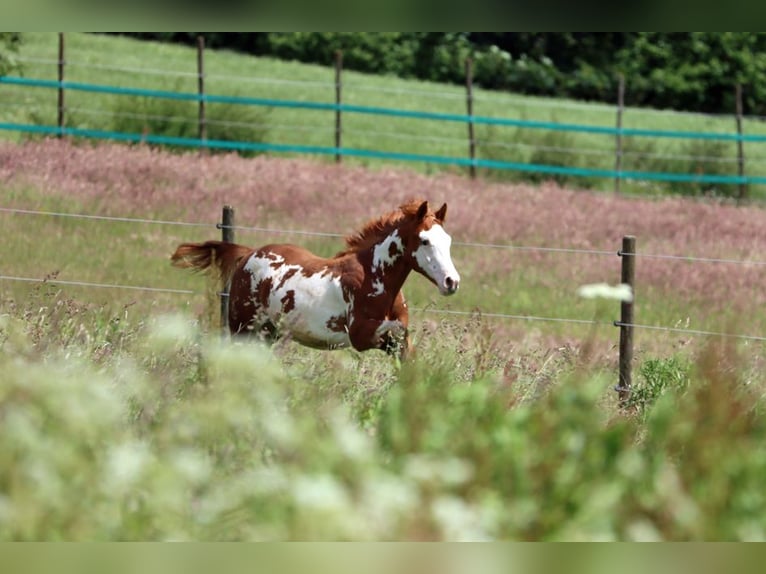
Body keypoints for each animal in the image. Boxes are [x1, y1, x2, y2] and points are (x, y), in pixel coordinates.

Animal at [170, 199, 460, 360]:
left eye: (448, 240)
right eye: (425, 240)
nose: (451, 282)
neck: (376, 276)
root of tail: (248, 254)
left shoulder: (396, 342)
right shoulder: (361, 337)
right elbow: (393, 331)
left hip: (267, 333)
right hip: (243, 330)